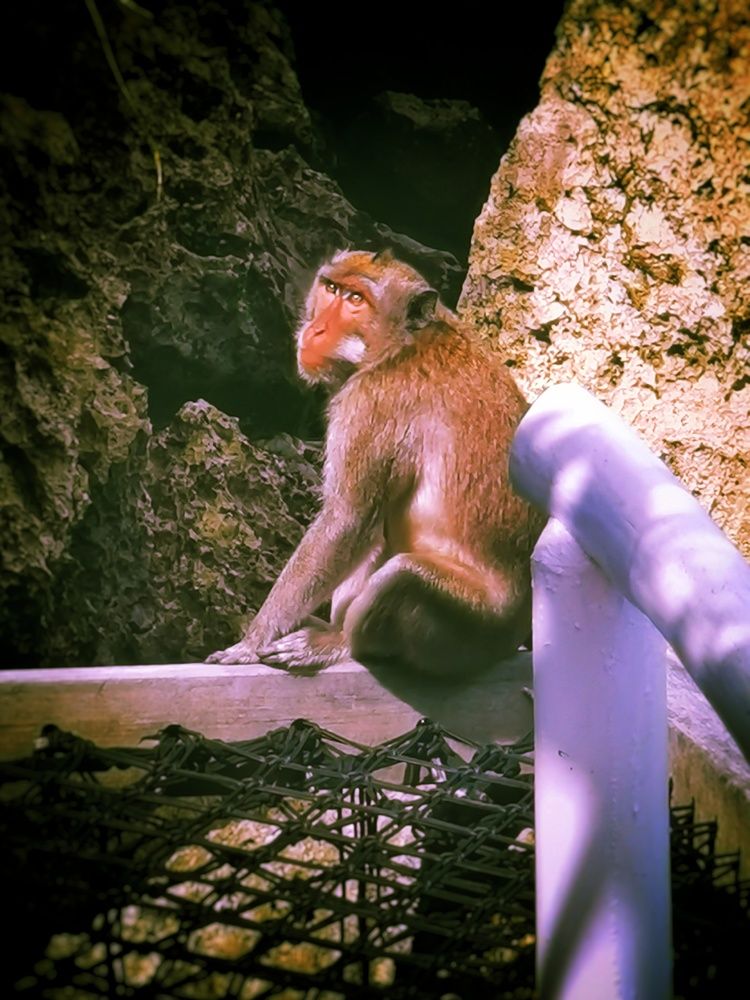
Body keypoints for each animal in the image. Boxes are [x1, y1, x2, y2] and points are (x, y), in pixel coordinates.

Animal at [206, 249, 543, 677]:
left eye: (356, 300)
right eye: (331, 288)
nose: (315, 329)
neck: (403, 344)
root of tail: (514, 638)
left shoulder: (368, 402)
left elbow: (345, 520)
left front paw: (251, 642)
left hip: (469, 631)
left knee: (402, 575)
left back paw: (341, 644)